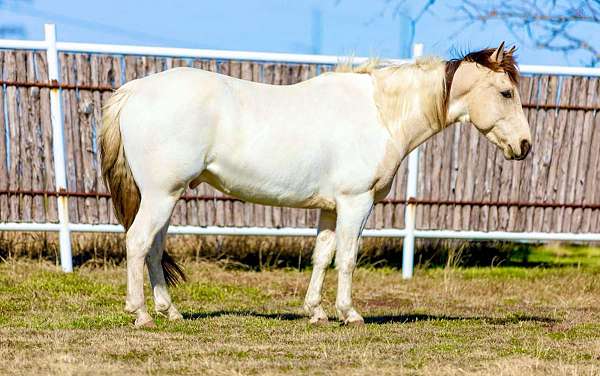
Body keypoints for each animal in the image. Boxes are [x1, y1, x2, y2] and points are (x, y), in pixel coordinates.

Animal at [101, 42, 532, 328]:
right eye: (506, 92)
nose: (525, 146)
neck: (380, 113)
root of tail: (134, 90)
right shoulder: (356, 203)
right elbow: (348, 258)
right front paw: (349, 313)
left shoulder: (329, 207)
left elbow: (322, 256)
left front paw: (316, 312)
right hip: (161, 195)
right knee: (138, 243)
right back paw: (141, 314)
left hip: (166, 197)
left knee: (154, 249)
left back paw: (169, 311)